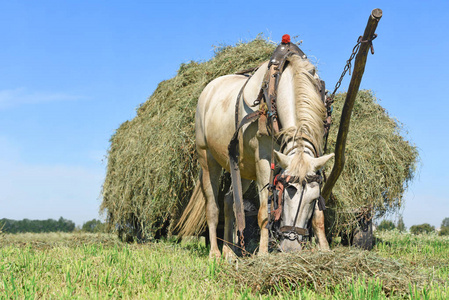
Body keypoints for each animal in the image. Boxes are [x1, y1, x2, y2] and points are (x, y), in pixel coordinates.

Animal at [178, 53, 332, 255]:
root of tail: (209, 88)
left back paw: (230, 251)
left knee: (230, 201)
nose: (291, 248)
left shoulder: (316, 156)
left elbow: (319, 216)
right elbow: (264, 211)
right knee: (212, 206)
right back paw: (215, 253)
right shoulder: (264, 160)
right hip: (207, 159)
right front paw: (263, 254)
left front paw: (325, 250)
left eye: (313, 199)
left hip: (241, 167)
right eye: (286, 192)